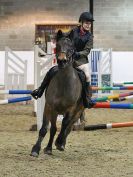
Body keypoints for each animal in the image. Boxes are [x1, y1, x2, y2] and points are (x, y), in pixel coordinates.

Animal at [30, 29, 84, 157]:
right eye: (58, 46)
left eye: (71, 47)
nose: (62, 61)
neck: (64, 83)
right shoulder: (49, 107)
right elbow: (45, 128)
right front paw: (36, 149)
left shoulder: (70, 109)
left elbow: (64, 125)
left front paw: (59, 142)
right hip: (55, 112)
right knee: (54, 128)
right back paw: (49, 147)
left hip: (77, 112)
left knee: (68, 127)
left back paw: (61, 143)